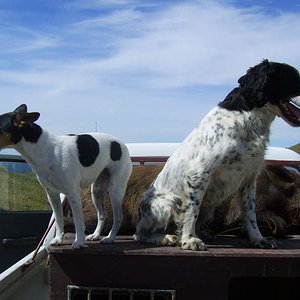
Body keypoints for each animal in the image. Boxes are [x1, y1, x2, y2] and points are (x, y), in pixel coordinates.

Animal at [0, 104, 132, 250]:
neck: (46, 150)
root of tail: (121, 143)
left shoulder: (73, 194)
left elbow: (78, 221)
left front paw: (78, 241)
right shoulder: (52, 195)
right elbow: (59, 220)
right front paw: (59, 239)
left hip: (115, 190)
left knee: (118, 217)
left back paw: (110, 237)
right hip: (96, 191)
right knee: (102, 214)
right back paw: (96, 235)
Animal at [135, 59, 300, 250]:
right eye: (293, 79)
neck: (246, 116)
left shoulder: (250, 178)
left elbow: (250, 214)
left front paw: (258, 239)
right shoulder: (198, 173)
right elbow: (191, 212)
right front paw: (189, 240)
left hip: (208, 209)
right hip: (169, 202)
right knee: (140, 233)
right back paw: (166, 238)